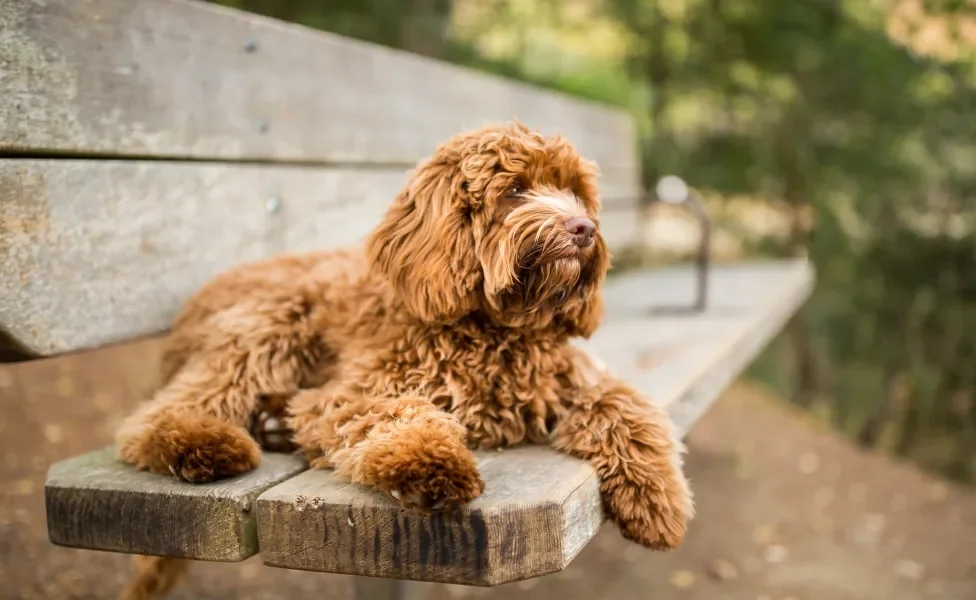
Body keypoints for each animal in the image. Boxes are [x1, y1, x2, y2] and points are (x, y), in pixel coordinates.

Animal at [114, 119, 692, 596]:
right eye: (515, 190)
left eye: (575, 192)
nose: (584, 229)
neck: (495, 330)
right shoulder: (357, 389)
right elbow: (395, 413)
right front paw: (431, 462)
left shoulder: (572, 379)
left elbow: (626, 408)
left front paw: (658, 499)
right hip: (271, 319)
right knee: (156, 414)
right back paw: (202, 442)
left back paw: (272, 423)